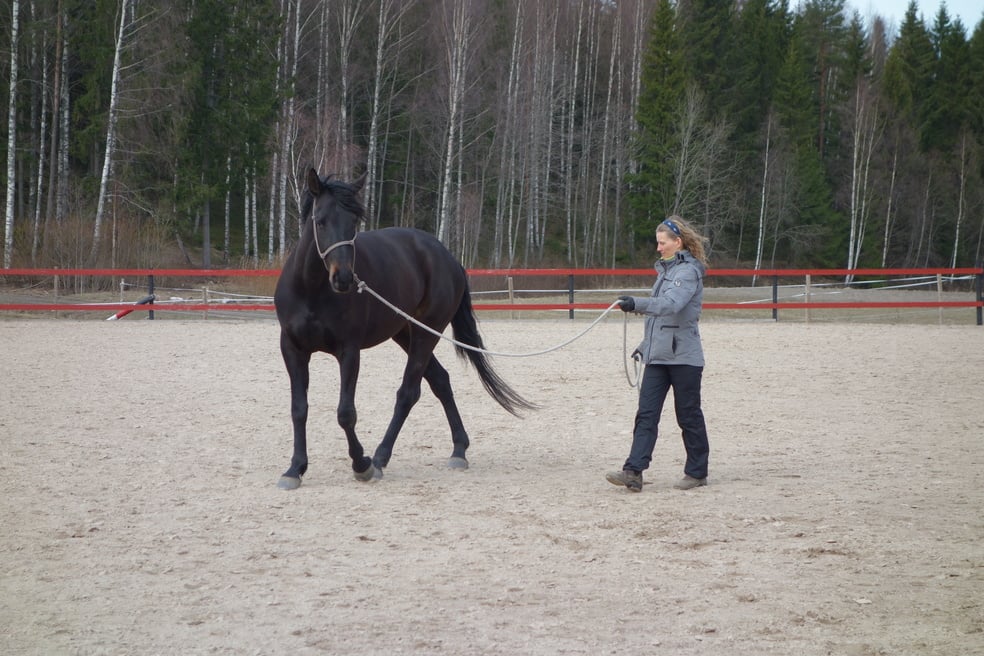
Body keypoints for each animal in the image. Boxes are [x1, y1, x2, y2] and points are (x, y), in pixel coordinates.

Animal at [272, 167, 536, 490]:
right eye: (320, 221)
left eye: (353, 223)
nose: (344, 278)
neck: (311, 290)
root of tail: (447, 257)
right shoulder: (292, 349)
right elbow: (299, 409)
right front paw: (295, 469)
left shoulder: (349, 351)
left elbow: (346, 413)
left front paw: (361, 464)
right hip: (405, 332)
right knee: (440, 380)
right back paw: (459, 449)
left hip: (425, 333)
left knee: (409, 392)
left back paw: (380, 457)